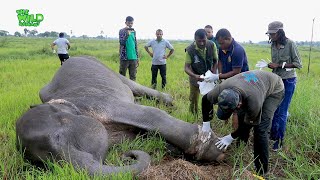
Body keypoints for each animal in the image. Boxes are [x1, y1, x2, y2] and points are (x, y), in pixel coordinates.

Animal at [15, 56, 225, 176]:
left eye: (60, 136)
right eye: (39, 163)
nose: (127, 156)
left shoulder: (100, 103)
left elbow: (151, 114)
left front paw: (215, 150)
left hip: (109, 70)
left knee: (134, 87)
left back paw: (169, 102)